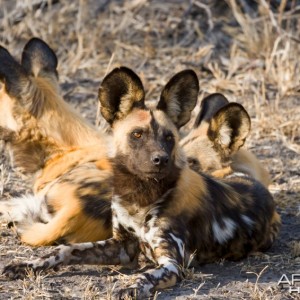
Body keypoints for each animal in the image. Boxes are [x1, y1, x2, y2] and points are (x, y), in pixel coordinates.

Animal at [3, 67, 282, 298]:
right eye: (137, 135)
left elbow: (146, 275)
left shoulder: (171, 264)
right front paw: (28, 265)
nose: (161, 159)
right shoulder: (121, 245)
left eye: (169, 137)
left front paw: (131, 287)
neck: (139, 198)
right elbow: (64, 250)